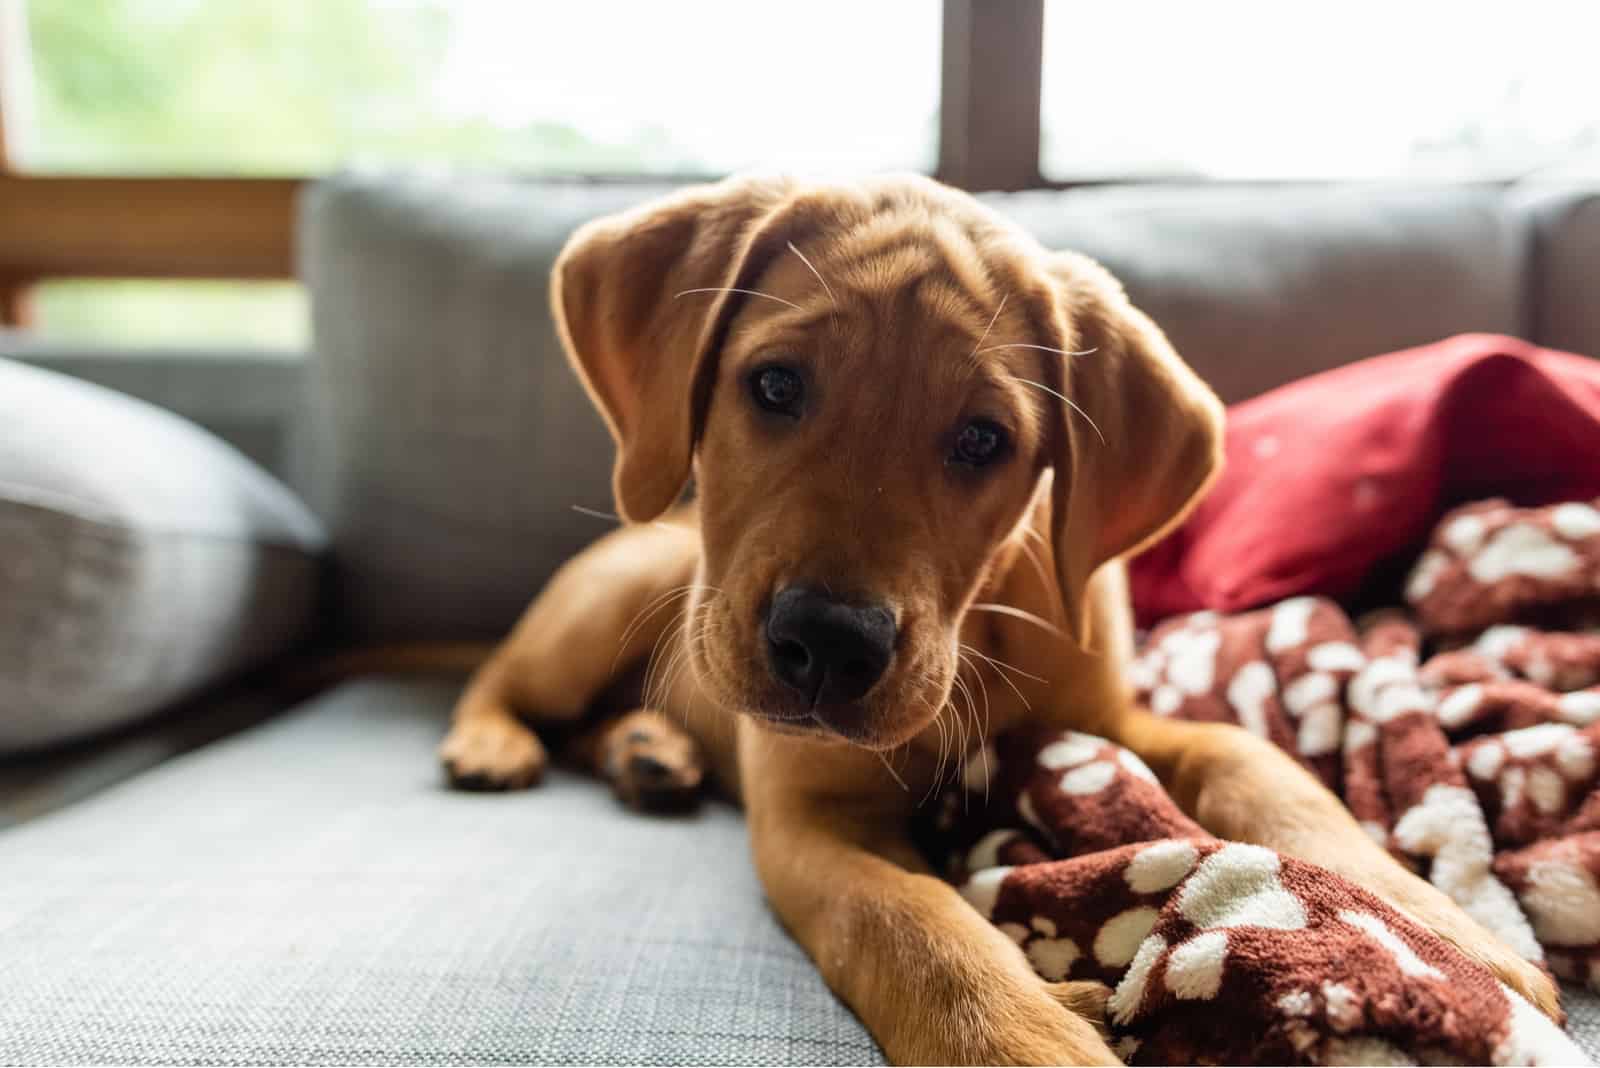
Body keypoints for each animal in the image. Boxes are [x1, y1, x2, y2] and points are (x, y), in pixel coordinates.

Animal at [438, 173, 1561, 1061]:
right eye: (774, 384)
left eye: (983, 440)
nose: (828, 647)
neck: (975, 632)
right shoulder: (809, 817)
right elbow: (907, 921)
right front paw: (1025, 1036)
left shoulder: (1107, 726)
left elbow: (1259, 766)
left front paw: (1438, 934)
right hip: (603, 601)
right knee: (506, 682)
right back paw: (498, 744)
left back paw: (647, 751)